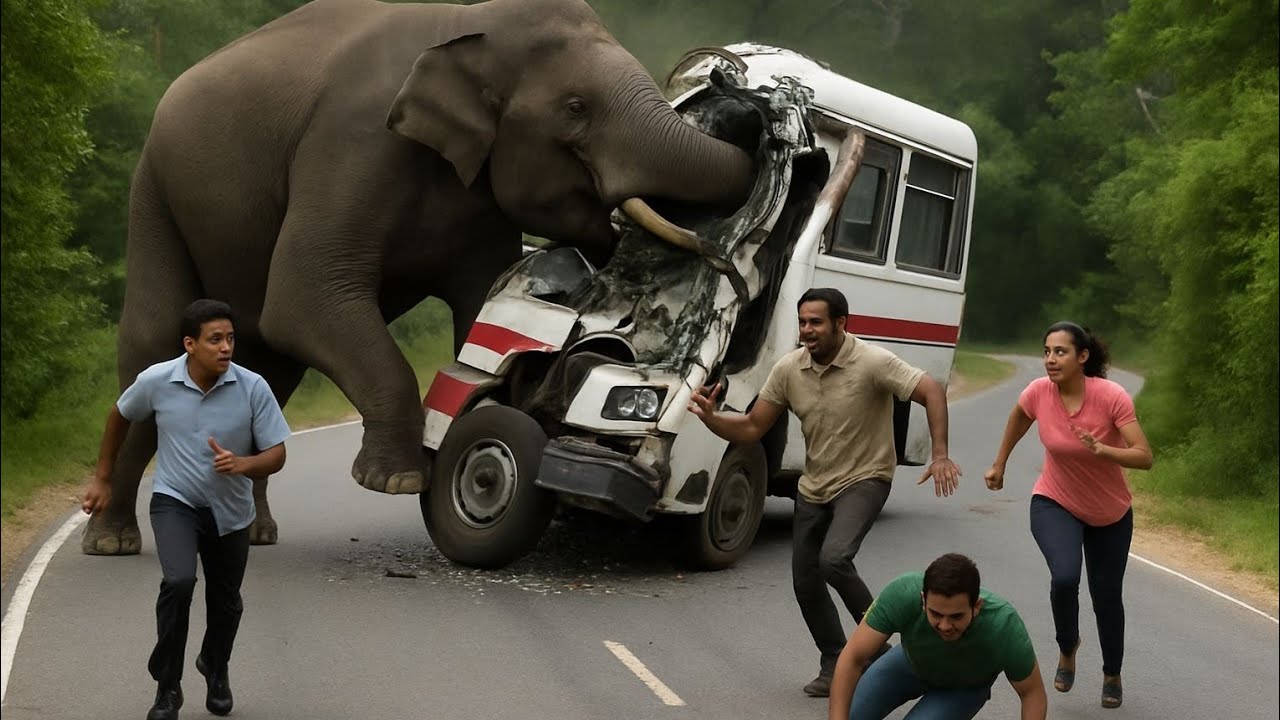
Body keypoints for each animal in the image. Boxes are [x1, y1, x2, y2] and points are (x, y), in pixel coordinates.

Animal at [82, 0, 755, 555]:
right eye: (575, 108)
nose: (741, 102)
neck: (468, 24)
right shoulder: (352, 141)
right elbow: (302, 298)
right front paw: (397, 480)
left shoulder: (480, 200)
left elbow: (480, 303)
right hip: (154, 192)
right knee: (151, 345)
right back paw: (112, 542)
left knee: (270, 372)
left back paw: (254, 535)